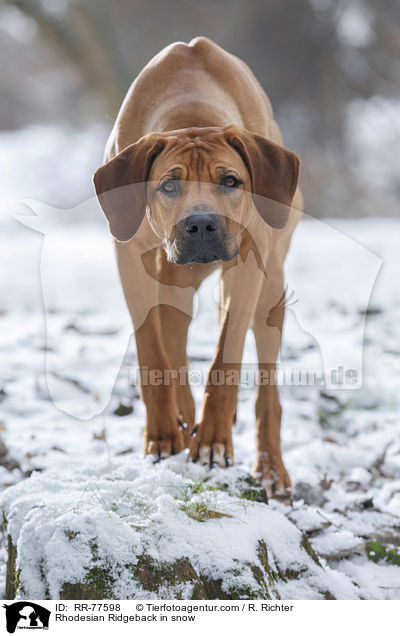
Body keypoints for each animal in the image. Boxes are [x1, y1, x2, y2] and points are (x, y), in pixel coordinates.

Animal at [93, 37, 300, 500]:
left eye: (230, 181)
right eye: (169, 185)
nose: (202, 225)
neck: (192, 112)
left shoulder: (247, 262)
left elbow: (226, 355)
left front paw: (213, 441)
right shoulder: (129, 256)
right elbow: (152, 348)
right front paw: (163, 431)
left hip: (271, 288)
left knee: (268, 390)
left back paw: (271, 468)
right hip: (172, 277)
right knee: (173, 334)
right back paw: (183, 415)